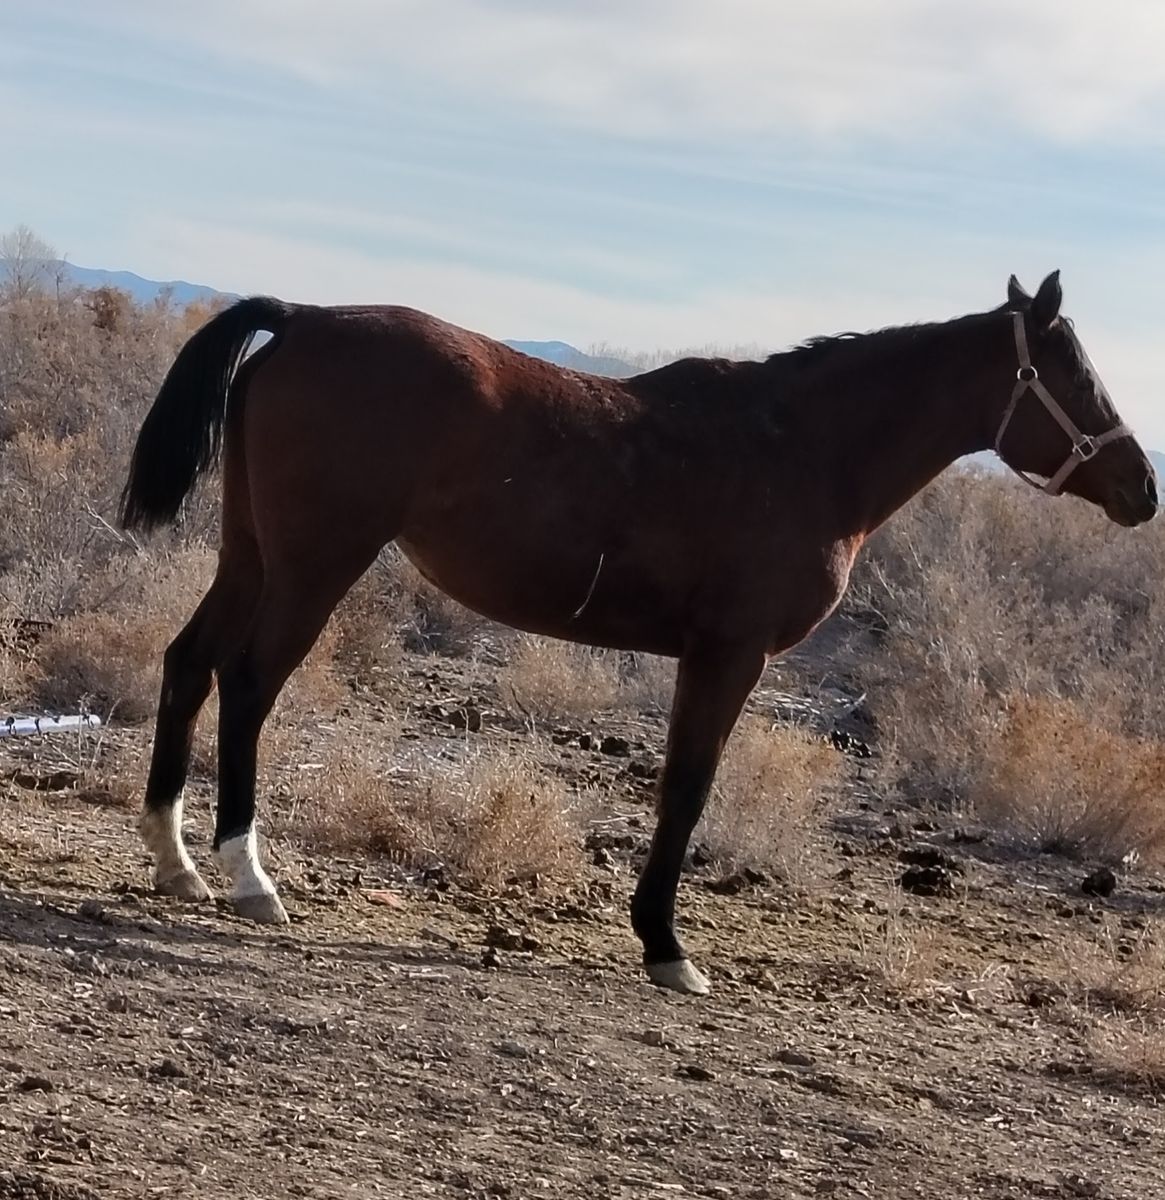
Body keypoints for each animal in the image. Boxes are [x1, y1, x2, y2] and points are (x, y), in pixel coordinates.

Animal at [119, 270, 1157, 996]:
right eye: (1069, 373)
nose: (1143, 488)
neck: (805, 451)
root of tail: (301, 317)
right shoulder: (727, 657)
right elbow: (685, 793)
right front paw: (665, 945)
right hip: (313, 566)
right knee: (249, 684)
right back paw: (249, 877)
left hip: (251, 554)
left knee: (188, 664)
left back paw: (176, 862)